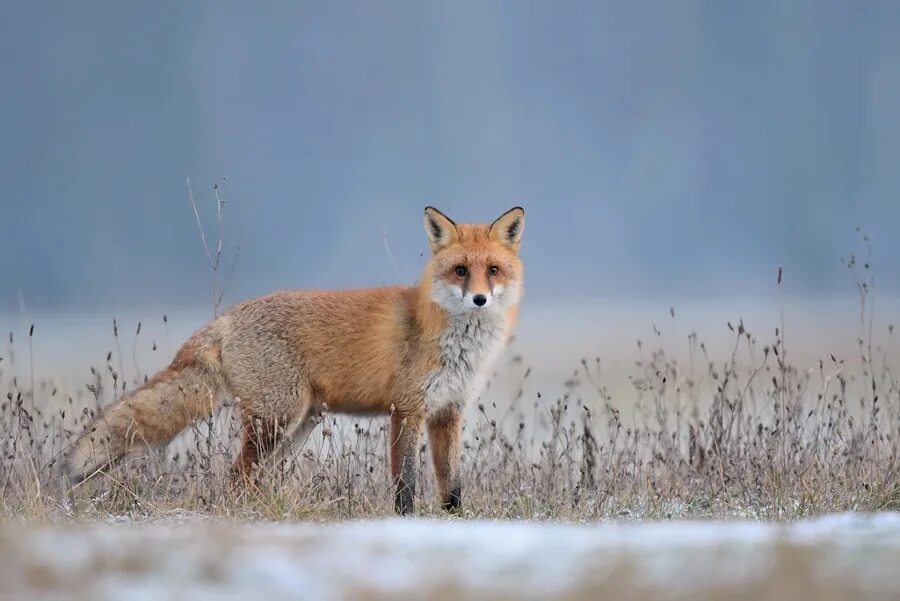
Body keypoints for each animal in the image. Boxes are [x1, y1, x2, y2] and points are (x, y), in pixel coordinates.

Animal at [66, 206, 525, 514]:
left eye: (493, 270)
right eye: (461, 270)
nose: (479, 299)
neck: (456, 345)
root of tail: (227, 317)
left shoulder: (448, 412)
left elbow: (452, 486)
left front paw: (456, 523)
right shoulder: (407, 409)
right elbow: (405, 484)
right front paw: (405, 522)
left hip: (295, 427)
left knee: (250, 479)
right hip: (277, 421)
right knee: (236, 476)